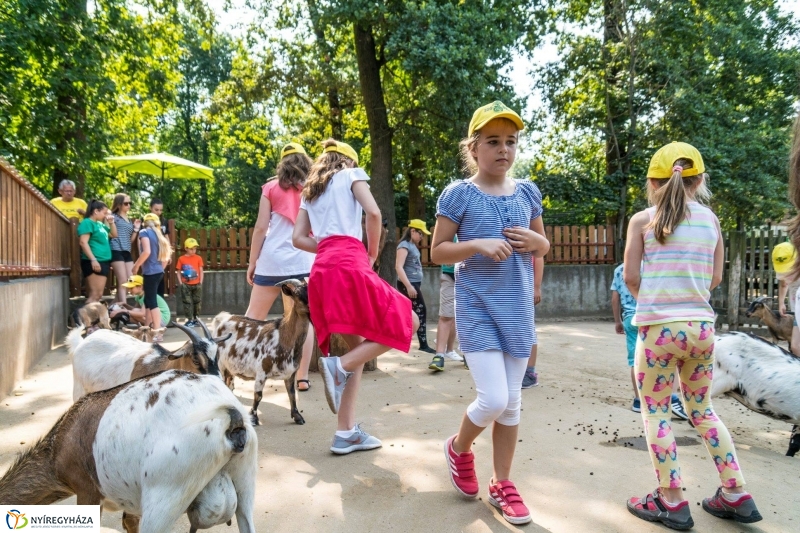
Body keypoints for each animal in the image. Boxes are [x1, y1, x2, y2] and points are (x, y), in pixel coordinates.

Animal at [0, 368, 256, 532]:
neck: (55, 453)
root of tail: (232, 417)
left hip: (165, 494)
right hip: (245, 481)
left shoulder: (86, 489)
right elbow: (129, 522)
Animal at [209, 278, 310, 424]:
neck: (284, 336)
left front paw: (297, 417)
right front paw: (253, 418)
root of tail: (222, 319)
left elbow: (291, 394)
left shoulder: (291, 373)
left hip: (229, 368)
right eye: (297, 294)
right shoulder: (262, 371)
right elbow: (258, 395)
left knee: (229, 385)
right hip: (220, 365)